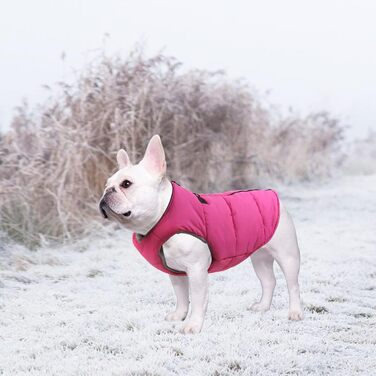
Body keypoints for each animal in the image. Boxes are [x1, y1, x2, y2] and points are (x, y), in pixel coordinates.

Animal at [99, 134, 302, 332]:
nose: (106, 191)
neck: (164, 214)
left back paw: (295, 312)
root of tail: (273, 195)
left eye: (126, 184)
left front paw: (193, 325)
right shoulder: (176, 272)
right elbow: (181, 296)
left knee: (293, 285)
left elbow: (197, 299)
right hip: (260, 257)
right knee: (268, 281)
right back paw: (263, 306)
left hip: (287, 256)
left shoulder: (196, 270)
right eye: (107, 184)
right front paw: (179, 315)